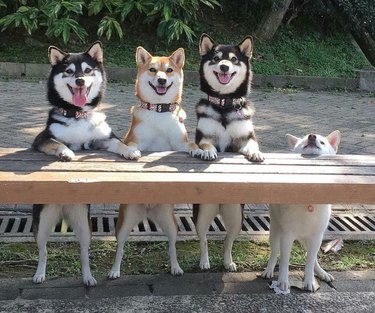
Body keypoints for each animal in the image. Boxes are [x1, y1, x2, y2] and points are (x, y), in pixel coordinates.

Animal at [31, 41, 140, 286]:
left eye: (88, 71)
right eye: (69, 71)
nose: (80, 80)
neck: (77, 114)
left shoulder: (101, 140)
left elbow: (118, 143)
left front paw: (131, 151)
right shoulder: (41, 140)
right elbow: (58, 143)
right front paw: (66, 153)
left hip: (84, 225)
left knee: (83, 253)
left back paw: (89, 277)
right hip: (42, 223)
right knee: (43, 251)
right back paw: (40, 274)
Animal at [108, 47, 203, 278]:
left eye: (168, 70)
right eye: (152, 70)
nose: (161, 80)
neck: (159, 112)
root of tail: (148, 210)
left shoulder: (180, 143)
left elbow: (192, 145)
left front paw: (203, 151)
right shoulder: (134, 139)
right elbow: (128, 145)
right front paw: (131, 153)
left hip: (170, 223)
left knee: (172, 246)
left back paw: (176, 267)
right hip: (124, 223)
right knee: (120, 248)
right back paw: (114, 271)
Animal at [194, 34, 264, 272]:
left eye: (234, 60)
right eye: (216, 58)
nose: (224, 66)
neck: (224, 105)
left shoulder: (244, 139)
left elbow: (252, 145)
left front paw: (256, 154)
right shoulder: (204, 138)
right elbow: (207, 146)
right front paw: (208, 154)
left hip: (236, 217)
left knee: (228, 240)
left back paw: (228, 262)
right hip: (203, 214)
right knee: (203, 239)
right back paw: (204, 261)